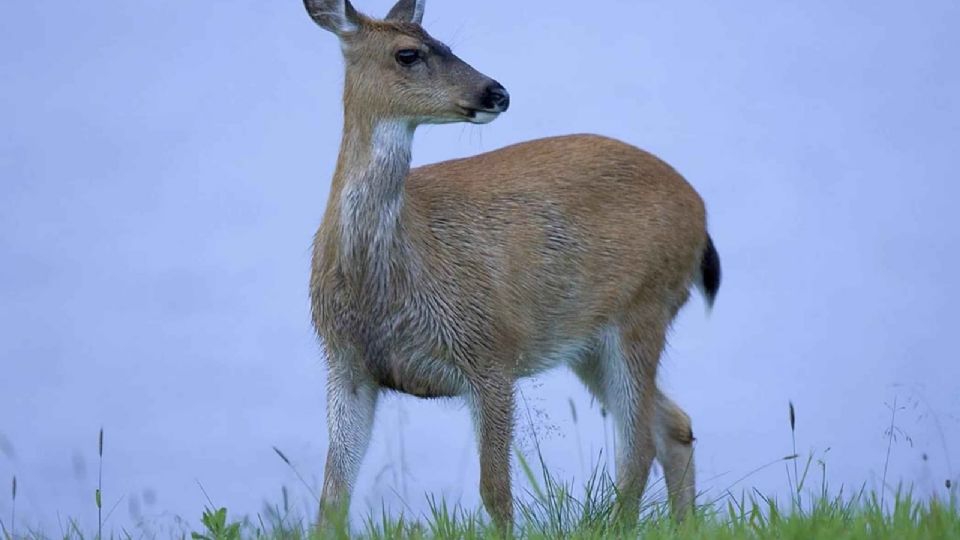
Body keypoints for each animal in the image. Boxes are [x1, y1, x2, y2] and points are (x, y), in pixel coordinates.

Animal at [302, 0, 720, 532]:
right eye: (408, 53)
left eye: (447, 44)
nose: (495, 92)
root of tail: (700, 211)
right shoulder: (347, 364)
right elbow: (333, 498)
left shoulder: (491, 351)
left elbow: (495, 492)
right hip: (588, 342)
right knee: (673, 425)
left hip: (643, 308)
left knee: (638, 444)